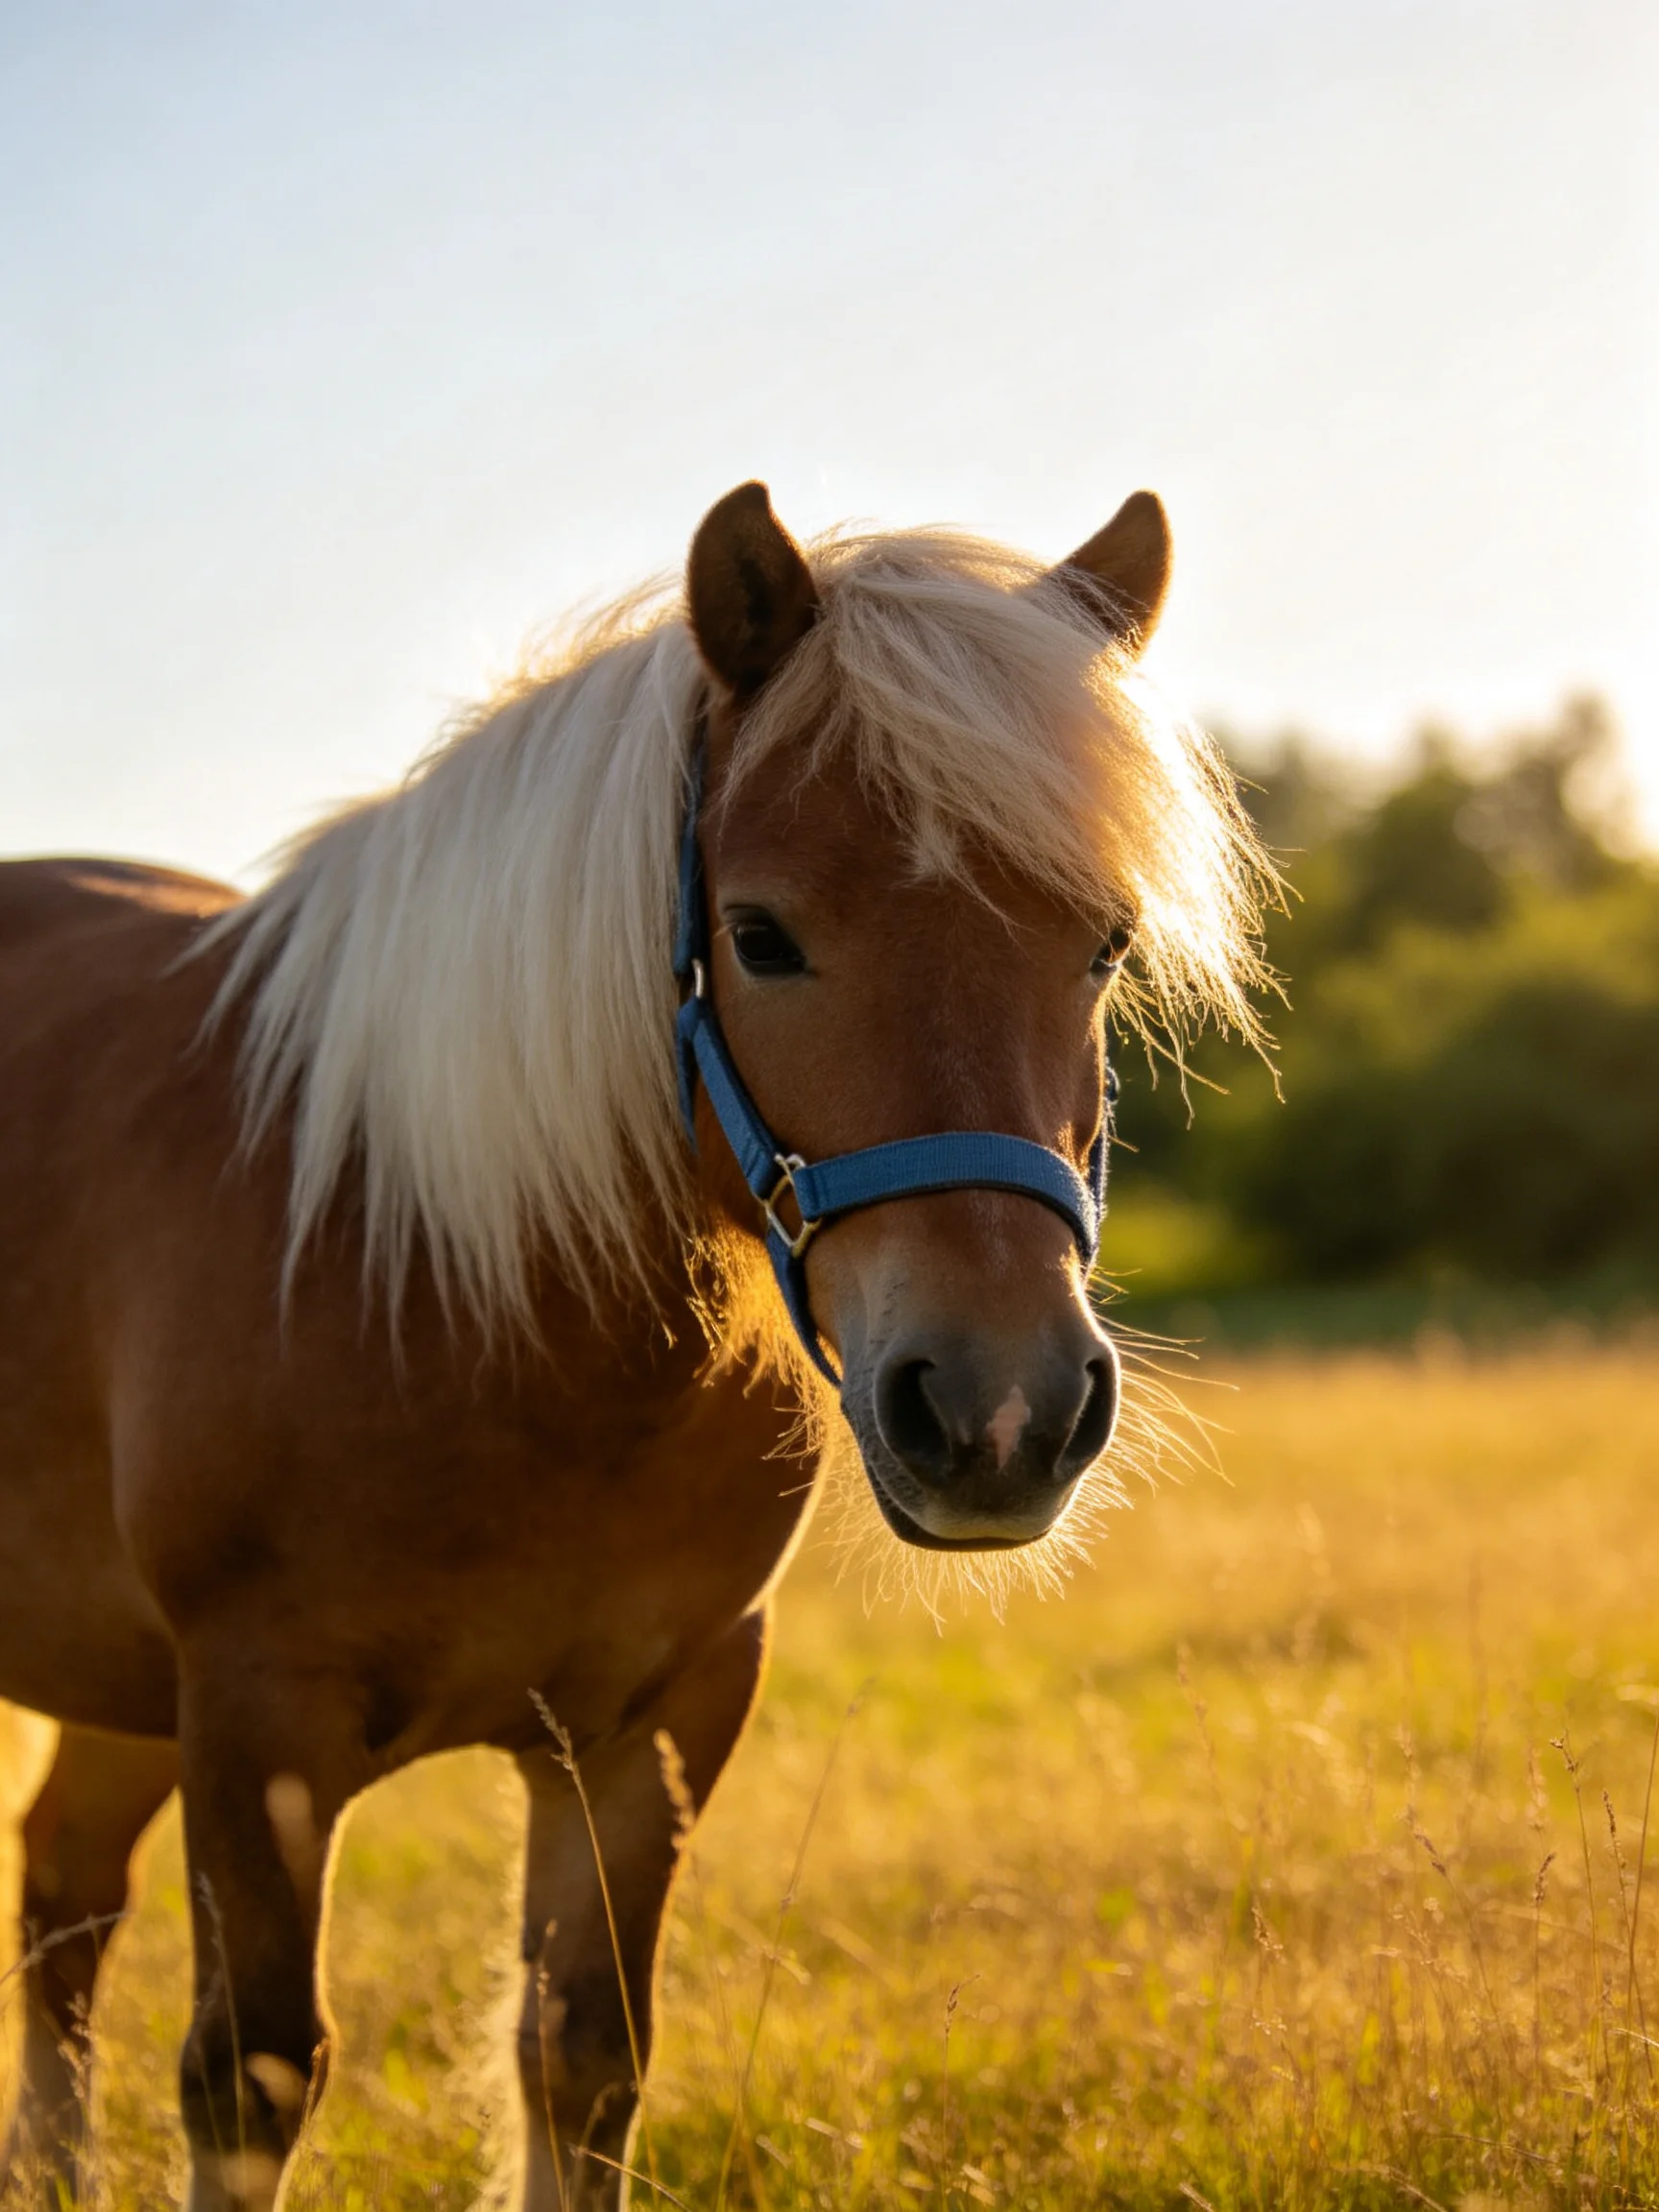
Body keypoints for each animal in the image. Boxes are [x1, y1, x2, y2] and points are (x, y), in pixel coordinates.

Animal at [0, 480, 1267, 2209]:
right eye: (761, 933)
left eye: (1105, 942)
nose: (998, 1409)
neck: (441, 1277)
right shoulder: (255, 1720)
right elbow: (253, 2073)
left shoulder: (651, 1720)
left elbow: (581, 2061)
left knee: (61, 1898)